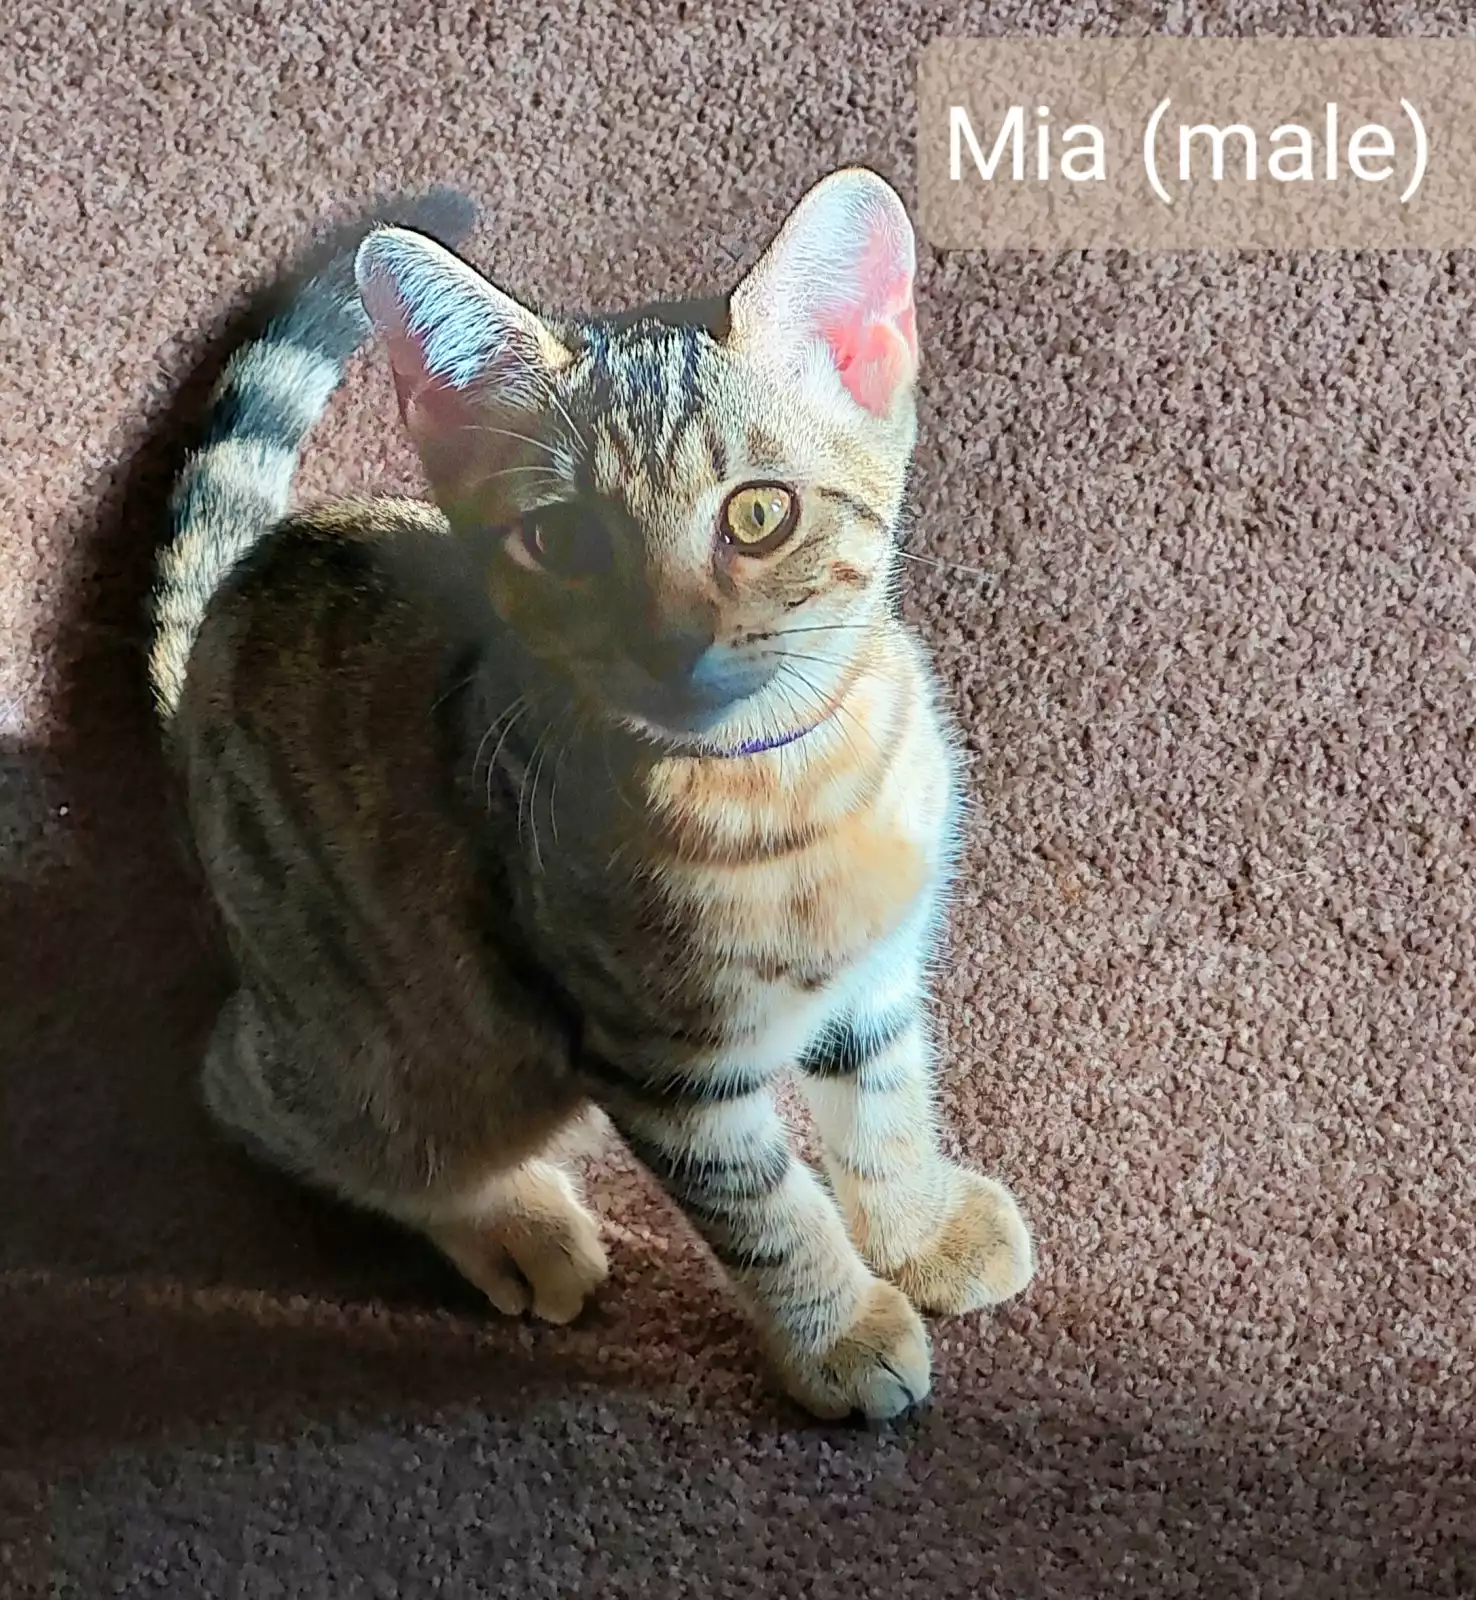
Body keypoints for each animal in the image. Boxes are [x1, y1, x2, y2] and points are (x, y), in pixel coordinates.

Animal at [148, 170, 1035, 1420]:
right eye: (562, 540)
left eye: (758, 514)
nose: (669, 641)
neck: (785, 788)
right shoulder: (657, 1063)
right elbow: (767, 1208)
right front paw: (841, 1332)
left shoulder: (872, 979)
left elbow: (885, 1108)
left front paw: (918, 1229)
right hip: (425, 1048)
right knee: (263, 1097)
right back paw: (517, 1226)